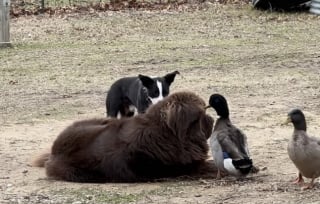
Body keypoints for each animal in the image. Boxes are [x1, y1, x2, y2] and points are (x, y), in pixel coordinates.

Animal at [33, 91, 215, 182]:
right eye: (203, 113)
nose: (211, 119)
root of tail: (54, 152)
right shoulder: (187, 168)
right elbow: (211, 166)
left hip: (104, 121)